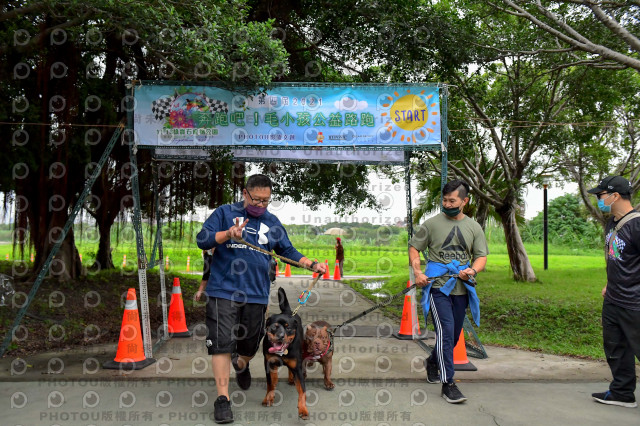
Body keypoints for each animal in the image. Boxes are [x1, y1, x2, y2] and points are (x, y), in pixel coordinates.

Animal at [262, 286, 308, 420]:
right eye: (274, 327)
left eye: (288, 327)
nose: (281, 336)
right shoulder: (268, 363)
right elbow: (270, 383)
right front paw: (269, 398)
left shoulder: (297, 367)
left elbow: (302, 391)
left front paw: (303, 409)